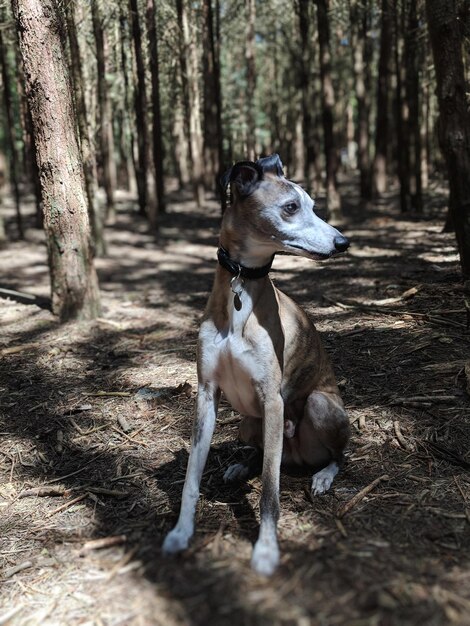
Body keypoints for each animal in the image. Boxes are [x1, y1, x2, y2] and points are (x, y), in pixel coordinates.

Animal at [162, 154, 348, 572]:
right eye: (291, 207)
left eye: (313, 205)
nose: (343, 243)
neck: (241, 291)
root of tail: (298, 456)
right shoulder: (207, 395)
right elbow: (191, 479)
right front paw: (181, 533)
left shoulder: (272, 400)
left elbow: (269, 493)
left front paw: (265, 550)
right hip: (249, 423)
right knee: (263, 453)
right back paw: (240, 466)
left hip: (319, 405)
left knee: (338, 455)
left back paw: (323, 476)